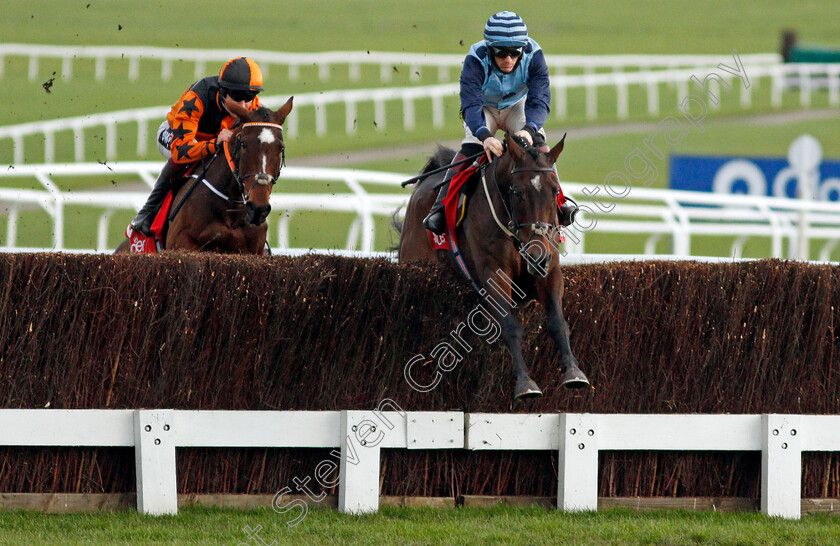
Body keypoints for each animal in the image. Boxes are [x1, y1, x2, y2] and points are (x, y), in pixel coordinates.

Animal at [115, 96, 292, 254]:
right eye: (244, 144)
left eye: (281, 148)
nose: (258, 208)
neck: (230, 210)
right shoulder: (182, 243)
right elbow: (181, 148)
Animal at [400, 131, 592, 396]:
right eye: (517, 192)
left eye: (555, 191)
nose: (536, 255)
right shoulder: (495, 273)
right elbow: (510, 327)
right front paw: (525, 383)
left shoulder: (549, 269)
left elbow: (558, 322)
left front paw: (574, 372)